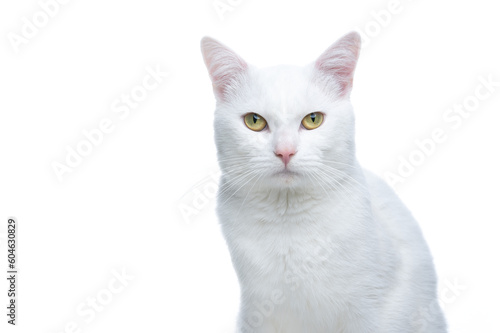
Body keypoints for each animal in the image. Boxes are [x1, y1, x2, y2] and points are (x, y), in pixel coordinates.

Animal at [201, 31, 448, 332]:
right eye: (255, 121)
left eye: (313, 119)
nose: (285, 151)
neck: (289, 223)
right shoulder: (259, 314)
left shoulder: (375, 311)